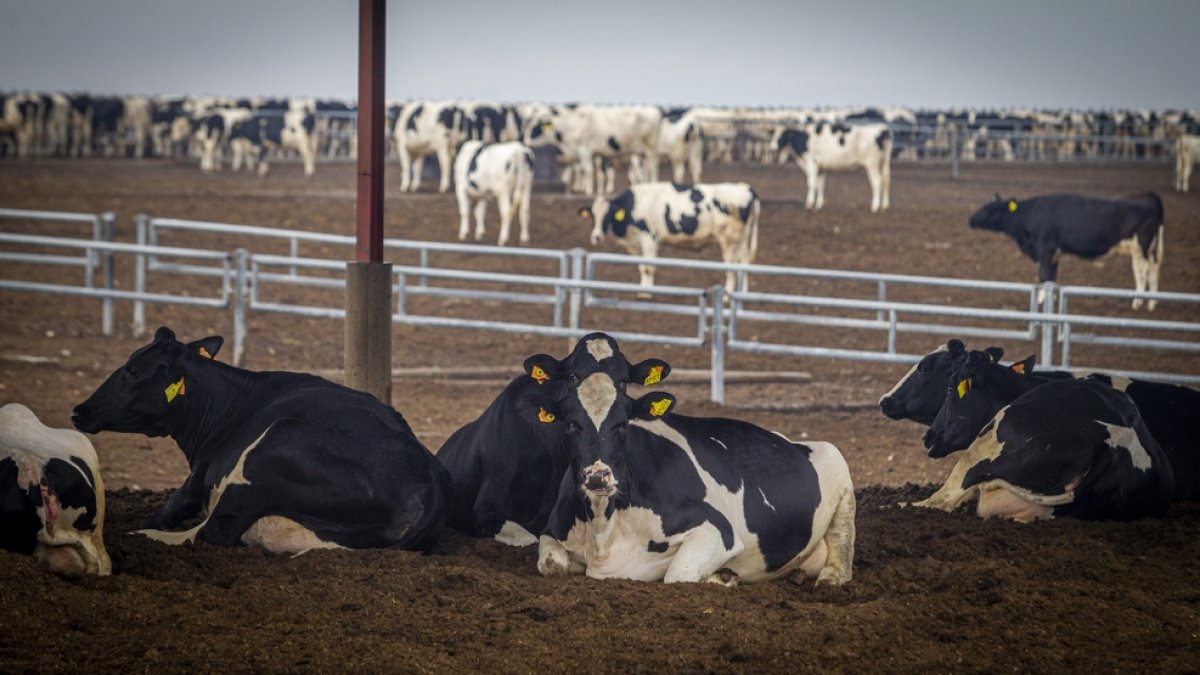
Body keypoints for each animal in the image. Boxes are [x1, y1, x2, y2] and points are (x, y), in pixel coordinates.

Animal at [70, 327, 450, 553]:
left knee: (211, 532)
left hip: (274, 444)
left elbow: (173, 505)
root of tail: (428, 476)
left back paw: (138, 538)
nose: (78, 410)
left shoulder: (198, 478)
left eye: (133, 370)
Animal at [520, 332, 855, 585]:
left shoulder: (716, 530)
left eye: (623, 423)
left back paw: (831, 577)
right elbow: (552, 564)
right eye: (571, 424)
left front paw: (719, 578)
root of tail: (788, 440)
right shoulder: (552, 531)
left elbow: (677, 574)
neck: (604, 527)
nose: (598, 476)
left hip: (838, 467)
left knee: (842, 541)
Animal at [580, 181, 760, 293]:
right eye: (593, 216)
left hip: (729, 240)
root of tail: (746, 188)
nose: (596, 237)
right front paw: (641, 289)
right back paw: (743, 294)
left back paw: (728, 294)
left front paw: (646, 293)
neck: (635, 204)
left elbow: (648, 267)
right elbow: (641, 267)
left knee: (732, 267)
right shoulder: (635, 244)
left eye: (608, 215)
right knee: (744, 264)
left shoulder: (650, 239)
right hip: (742, 239)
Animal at [968, 192, 1165, 310]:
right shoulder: (1054, 254)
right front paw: (1051, 299)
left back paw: (1138, 302)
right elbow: (1051, 277)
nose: (970, 220)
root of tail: (1150, 196)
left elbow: (1044, 275)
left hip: (1140, 245)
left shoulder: (1045, 249)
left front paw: (1041, 300)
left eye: (991, 209)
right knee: (1154, 269)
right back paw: (1153, 302)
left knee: (1142, 271)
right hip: (1152, 248)